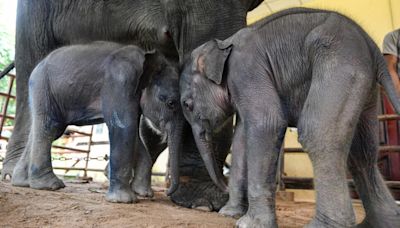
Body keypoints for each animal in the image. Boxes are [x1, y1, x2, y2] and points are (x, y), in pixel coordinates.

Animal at [10, 41, 183, 203]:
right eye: (171, 103)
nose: (167, 192)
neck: (146, 58)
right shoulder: (121, 81)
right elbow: (124, 127)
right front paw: (124, 200)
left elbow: (134, 133)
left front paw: (144, 193)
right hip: (43, 87)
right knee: (50, 127)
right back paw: (50, 185)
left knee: (46, 129)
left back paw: (22, 182)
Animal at [180, 7, 400, 228]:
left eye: (187, 105)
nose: (222, 187)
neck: (223, 44)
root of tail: (371, 44)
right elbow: (241, 140)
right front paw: (229, 214)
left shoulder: (246, 71)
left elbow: (266, 123)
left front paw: (248, 224)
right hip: (364, 81)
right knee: (361, 151)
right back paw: (380, 222)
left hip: (340, 62)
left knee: (317, 134)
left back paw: (324, 225)